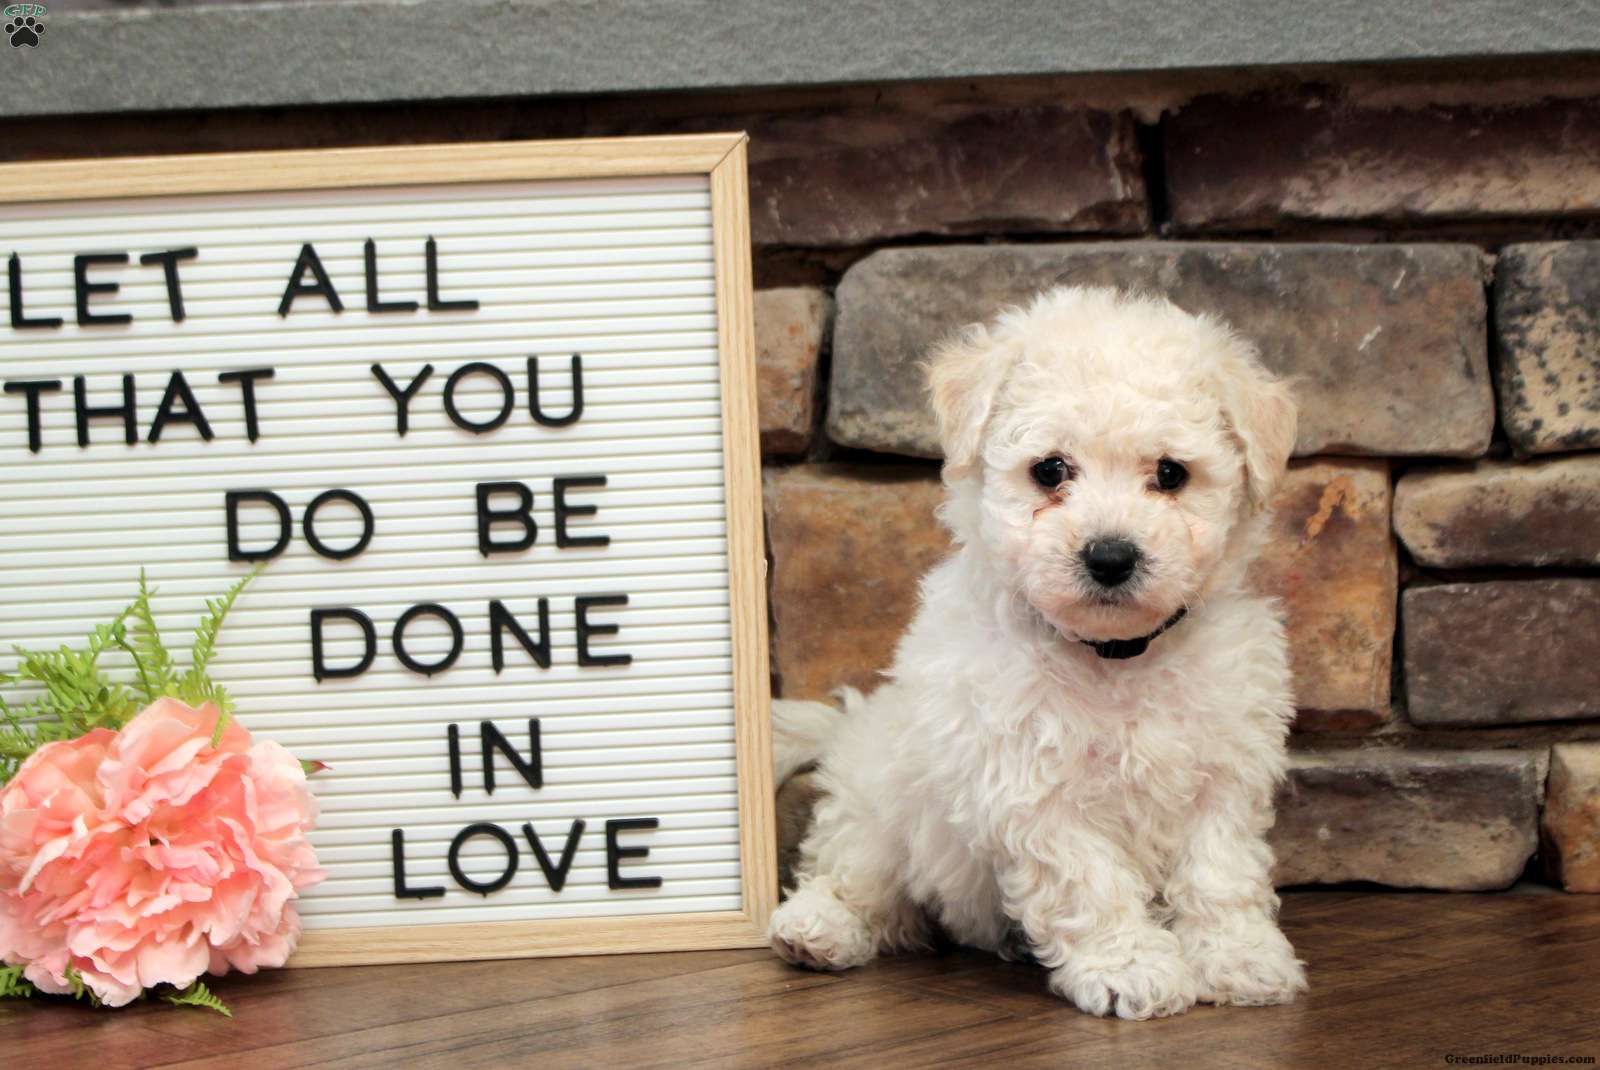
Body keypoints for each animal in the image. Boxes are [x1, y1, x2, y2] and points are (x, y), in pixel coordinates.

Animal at [767, 286, 1307, 1020]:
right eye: (1050, 469)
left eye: (1171, 474)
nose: (1110, 556)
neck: (1114, 656)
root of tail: (853, 728)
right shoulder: (1031, 787)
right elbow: (1090, 882)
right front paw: (1131, 968)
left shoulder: (1224, 774)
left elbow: (1220, 873)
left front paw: (1239, 959)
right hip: (881, 803)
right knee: (854, 876)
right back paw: (817, 928)